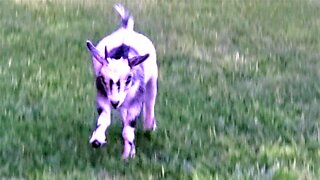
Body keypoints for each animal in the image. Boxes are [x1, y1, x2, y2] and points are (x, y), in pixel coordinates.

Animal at [85, 3, 158, 159]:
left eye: (129, 78)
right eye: (103, 78)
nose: (114, 102)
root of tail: (126, 29)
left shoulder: (136, 100)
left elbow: (128, 129)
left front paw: (127, 157)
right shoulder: (103, 95)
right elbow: (104, 119)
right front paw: (97, 140)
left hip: (152, 81)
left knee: (150, 102)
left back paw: (149, 127)